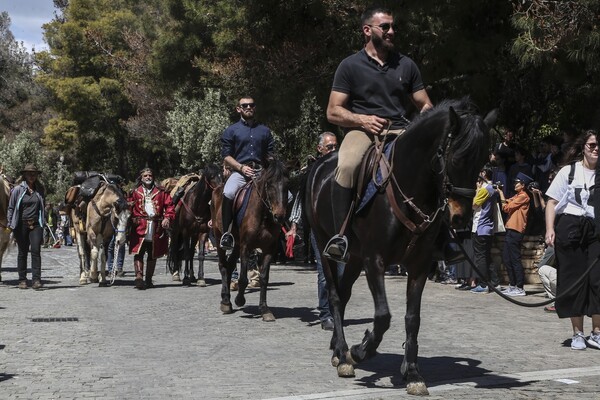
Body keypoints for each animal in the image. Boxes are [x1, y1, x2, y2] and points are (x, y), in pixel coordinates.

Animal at [213, 159, 290, 322]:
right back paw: (226, 303)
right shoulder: (246, 247)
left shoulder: (268, 250)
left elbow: (264, 278)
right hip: (218, 237)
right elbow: (243, 278)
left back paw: (226, 299)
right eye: (269, 183)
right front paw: (239, 299)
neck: (264, 215)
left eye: (287, 184)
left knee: (229, 266)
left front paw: (265, 309)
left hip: (236, 244)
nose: (279, 216)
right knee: (223, 266)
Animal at [308, 99, 494, 394]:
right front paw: (360, 350)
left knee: (344, 293)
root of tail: (320, 165)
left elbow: (412, 318)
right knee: (336, 295)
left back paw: (338, 349)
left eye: (482, 161)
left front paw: (413, 372)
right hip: (325, 246)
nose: (460, 218)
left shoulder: (419, 265)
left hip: (354, 258)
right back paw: (344, 354)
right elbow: (383, 315)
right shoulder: (375, 261)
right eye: (455, 158)